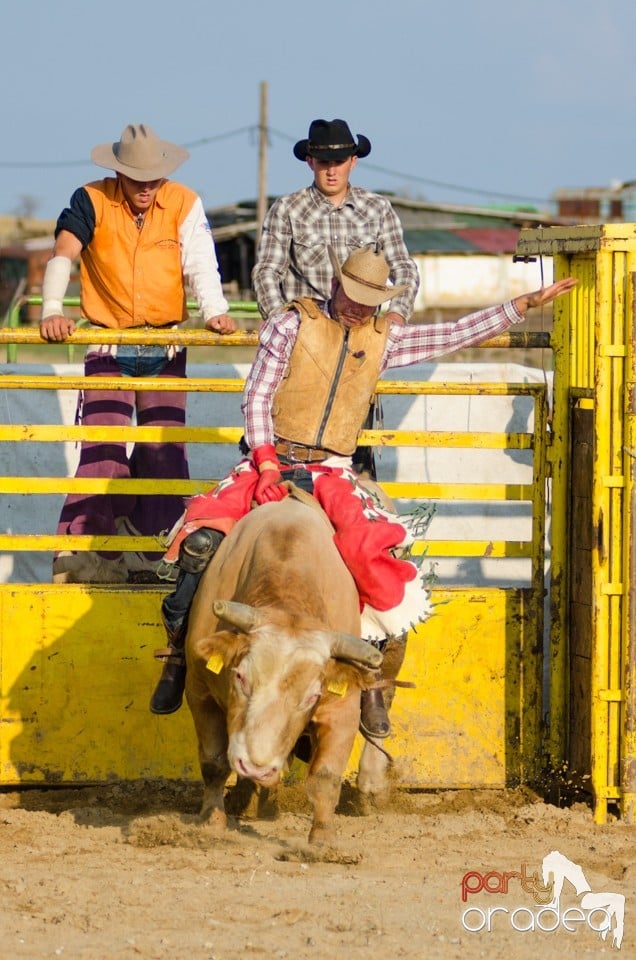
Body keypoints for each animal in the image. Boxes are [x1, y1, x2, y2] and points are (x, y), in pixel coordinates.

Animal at [184, 496, 390, 840]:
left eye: (311, 697)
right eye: (240, 677)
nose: (257, 766)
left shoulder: (342, 709)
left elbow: (325, 777)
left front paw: (322, 839)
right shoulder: (199, 691)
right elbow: (214, 763)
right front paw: (212, 822)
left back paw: (371, 786)